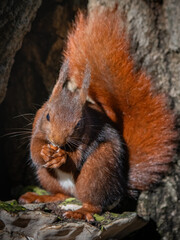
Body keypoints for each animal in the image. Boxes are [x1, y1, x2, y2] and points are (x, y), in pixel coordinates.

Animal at [19, 8, 176, 221]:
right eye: (48, 116)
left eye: (78, 124)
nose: (58, 142)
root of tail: (120, 188)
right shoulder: (37, 126)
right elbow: (34, 150)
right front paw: (45, 152)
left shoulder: (88, 136)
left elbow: (76, 159)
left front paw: (63, 157)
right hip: (48, 177)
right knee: (61, 194)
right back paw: (41, 196)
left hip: (97, 170)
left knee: (95, 204)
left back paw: (81, 210)